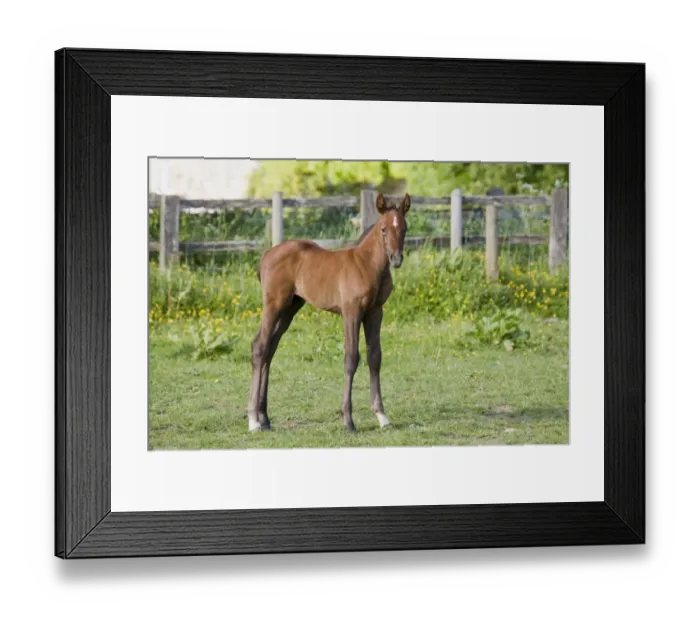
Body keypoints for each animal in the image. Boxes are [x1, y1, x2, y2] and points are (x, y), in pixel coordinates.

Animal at [246, 192, 411, 433]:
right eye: (383, 228)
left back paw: (265, 418)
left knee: (270, 348)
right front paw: (348, 420)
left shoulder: (375, 312)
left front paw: (382, 416)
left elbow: (375, 357)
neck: (367, 265)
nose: (396, 259)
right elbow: (351, 358)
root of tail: (267, 254)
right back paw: (253, 420)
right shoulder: (351, 312)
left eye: (405, 228)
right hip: (274, 304)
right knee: (259, 346)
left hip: (290, 307)